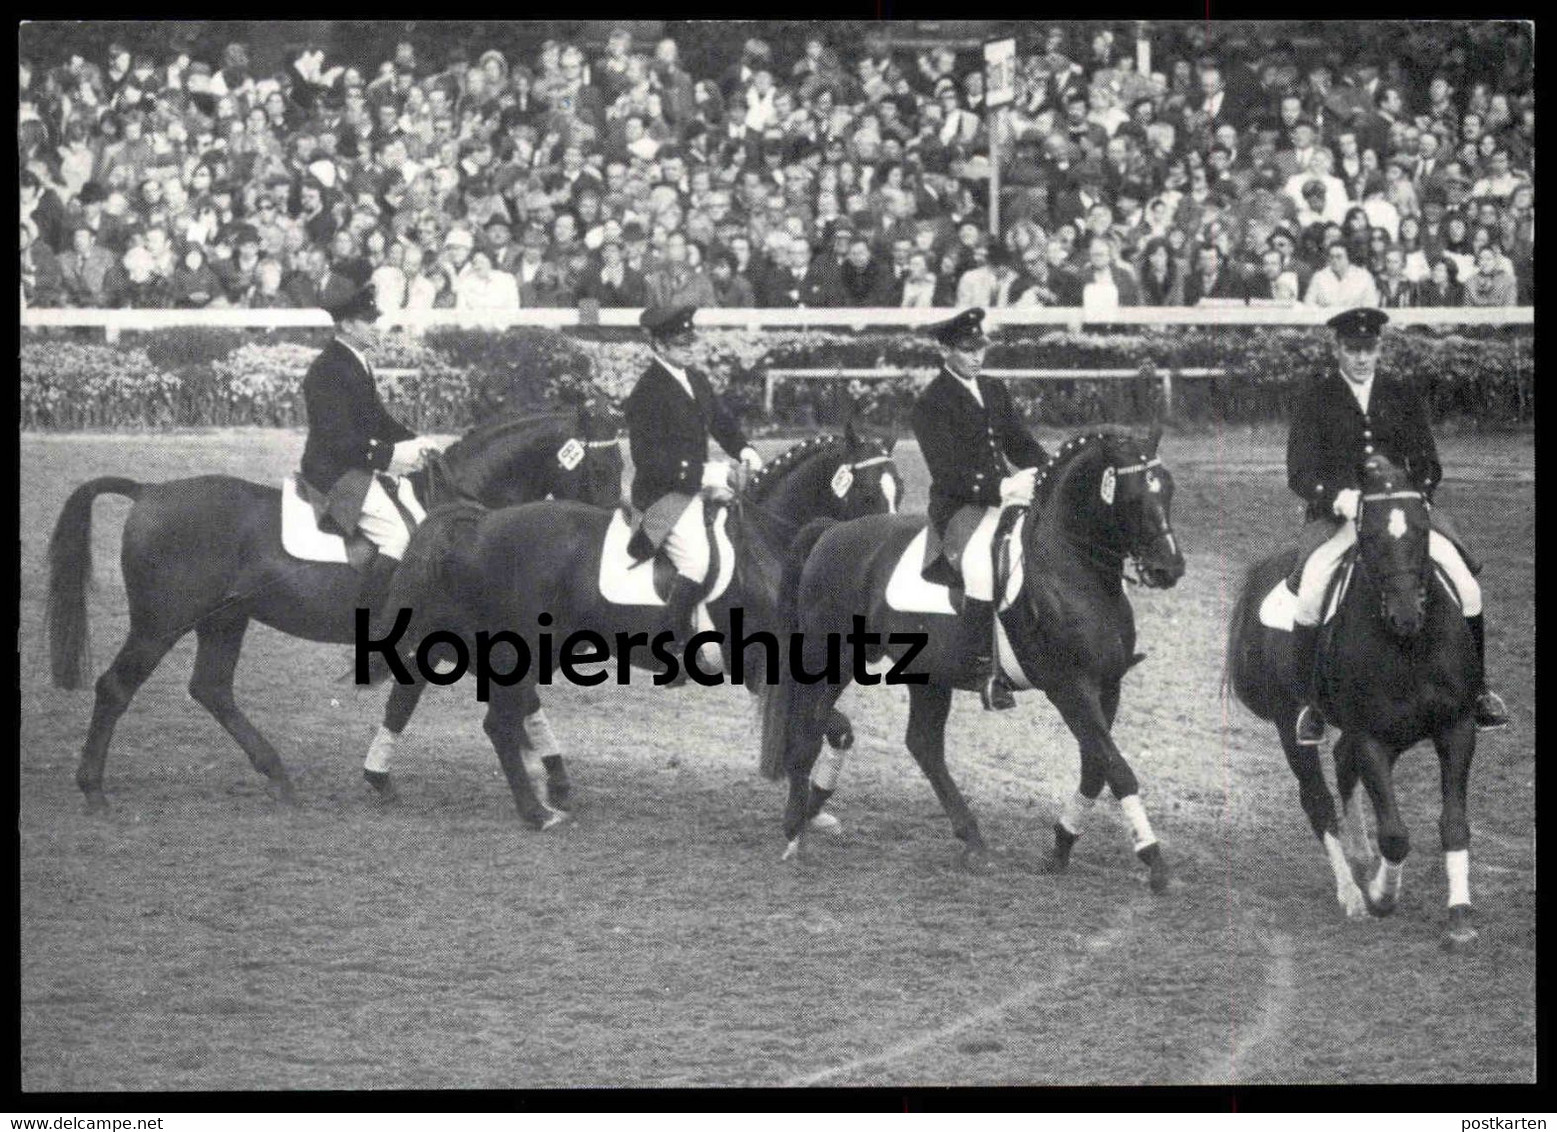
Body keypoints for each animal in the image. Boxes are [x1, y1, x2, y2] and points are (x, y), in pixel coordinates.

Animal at [45, 401, 622, 809]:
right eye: (601, 465)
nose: (614, 533)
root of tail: (148, 490)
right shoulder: (449, 637)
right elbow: (455, 702)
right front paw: (551, 780)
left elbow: (505, 701)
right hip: (160, 623)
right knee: (116, 688)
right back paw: (93, 788)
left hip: (224, 619)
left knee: (211, 689)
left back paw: (278, 776)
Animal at [362, 429, 903, 828]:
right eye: (869, 491)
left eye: (900, 487)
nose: (889, 556)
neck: (771, 549)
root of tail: (481, 522)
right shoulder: (767, 669)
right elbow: (822, 730)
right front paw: (805, 809)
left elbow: (829, 732)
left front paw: (813, 811)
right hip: (517, 650)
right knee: (496, 724)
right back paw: (537, 813)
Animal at [759, 429, 1183, 878]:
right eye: (1134, 497)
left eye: (1168, 489)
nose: (1169, 569)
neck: (1069, 568)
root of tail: (830, 532)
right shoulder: (1070, 688)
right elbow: (1118, 769)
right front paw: (1153, 860)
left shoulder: (1107, 686)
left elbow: (1095, 769)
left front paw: (1061, 846)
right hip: (833, 659)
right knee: (811, 724)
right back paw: (795, 829)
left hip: (926, 675)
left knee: (921, 744)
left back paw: (969, 838)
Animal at [1226, 451, 1482, 946]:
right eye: (1369, 535)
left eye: (1423, 528)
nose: (1405, 615)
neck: (1409, 647)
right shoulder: (1372, 738)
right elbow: (1396, 835)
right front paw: (1382, 896)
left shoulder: (1456, 727)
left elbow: (1454, 824)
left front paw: (1460, 914)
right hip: (1292, 725)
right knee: (1318, 802)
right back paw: (1353, 894)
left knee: (1343, 764)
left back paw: (1362, 860)